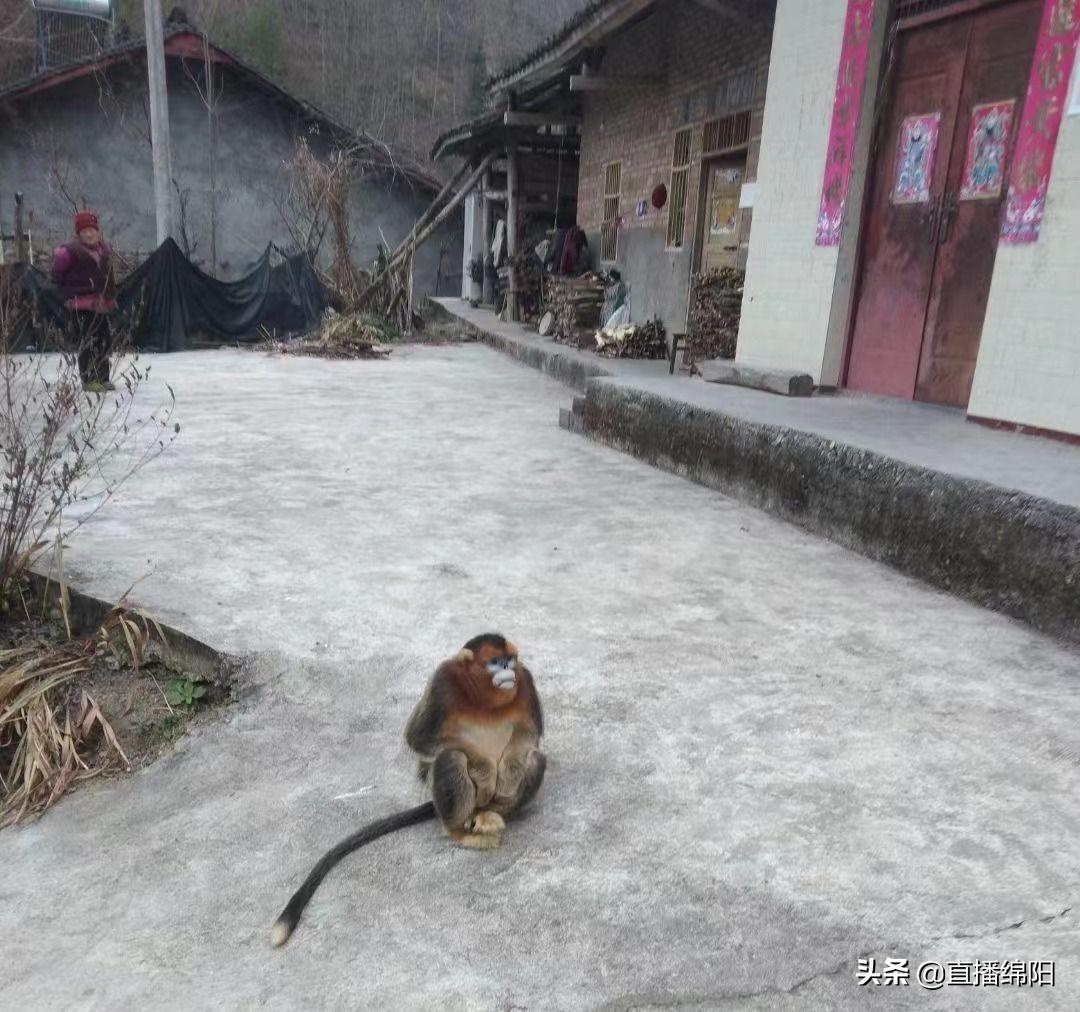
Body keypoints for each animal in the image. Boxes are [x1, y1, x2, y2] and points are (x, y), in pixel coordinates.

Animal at [266, 630, 544, 946]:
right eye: (495, 661)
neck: (485, 703)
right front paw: (484, 770)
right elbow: (418, 738)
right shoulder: (443, 682)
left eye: (511, 659)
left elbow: (530, 736)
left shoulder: (525, 680)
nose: (508, 669)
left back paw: (490, 814)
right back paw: (460, 831)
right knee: (451, 757)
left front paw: (505, 776)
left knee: (534, 758)